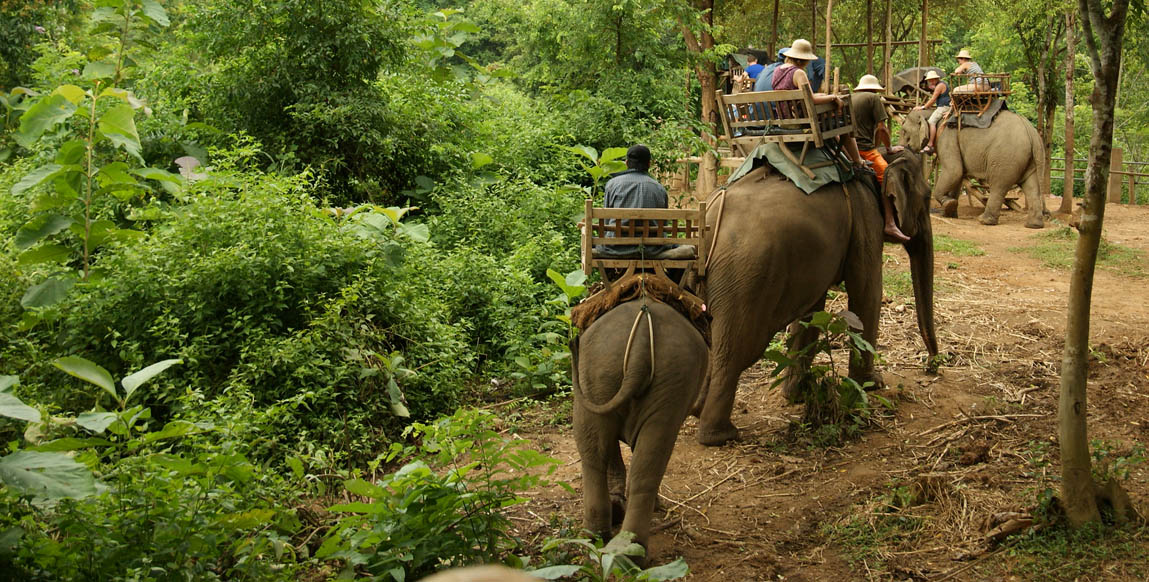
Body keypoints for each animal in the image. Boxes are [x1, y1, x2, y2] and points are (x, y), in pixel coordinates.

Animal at [693, 151, 937, 445]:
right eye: (927, 197)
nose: (931, 367)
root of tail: (712, 210)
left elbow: (811, 313)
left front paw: (796, 395)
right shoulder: (867, 221)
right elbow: (867, 294)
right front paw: (870, 386)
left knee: (710, 341)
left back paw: (696, 411)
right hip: (746, 277)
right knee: (736, 348)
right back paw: (721, 435)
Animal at [896, 109, 1052, 227]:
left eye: (903, 131)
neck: (930, 112)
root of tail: (1032, 133)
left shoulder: (947, 137)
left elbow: (954, 171)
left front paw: (948, 205)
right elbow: (958, 176)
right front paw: (950, 213)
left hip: (1005, 158)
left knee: (999, 185)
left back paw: (984, 220)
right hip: (1030, 159)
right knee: (1031, 186)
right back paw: (1034, 225)